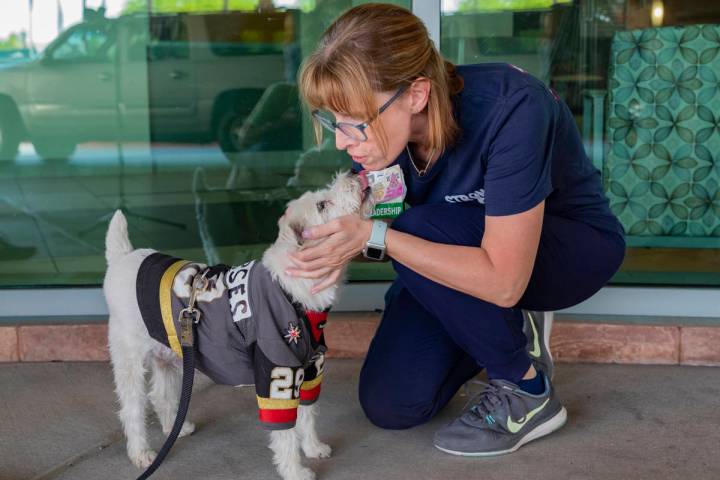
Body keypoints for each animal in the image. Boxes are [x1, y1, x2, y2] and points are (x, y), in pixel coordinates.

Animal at [106, 171, 374, 478]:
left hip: (168, 354)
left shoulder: (309, 370)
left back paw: (177, 428)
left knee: (160, 394)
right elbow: (285, 432)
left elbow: (307, 416)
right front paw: (294, 471)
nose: (353, 172)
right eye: (321, 205)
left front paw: (313, 447)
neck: (293, 290)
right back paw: (141, 453)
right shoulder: (277, 371)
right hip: (129, 359)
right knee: (132, 409)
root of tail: (123, 258)